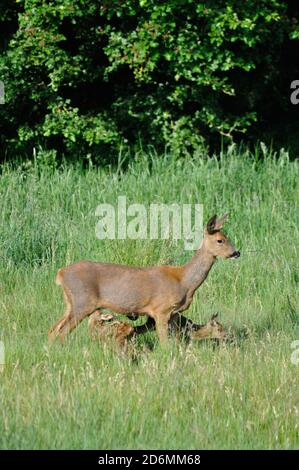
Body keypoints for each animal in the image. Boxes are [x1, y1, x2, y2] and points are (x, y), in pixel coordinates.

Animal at [49, 215, 241, 344]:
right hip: (82, 302)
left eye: (228, 238)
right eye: (220, 240)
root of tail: (60, 273)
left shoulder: (173, 314)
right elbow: (165, 344)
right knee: (61, 332)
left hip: (71, 303)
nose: (236, 252)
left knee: (52, 330)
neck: (184, 282)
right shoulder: (161, 310)